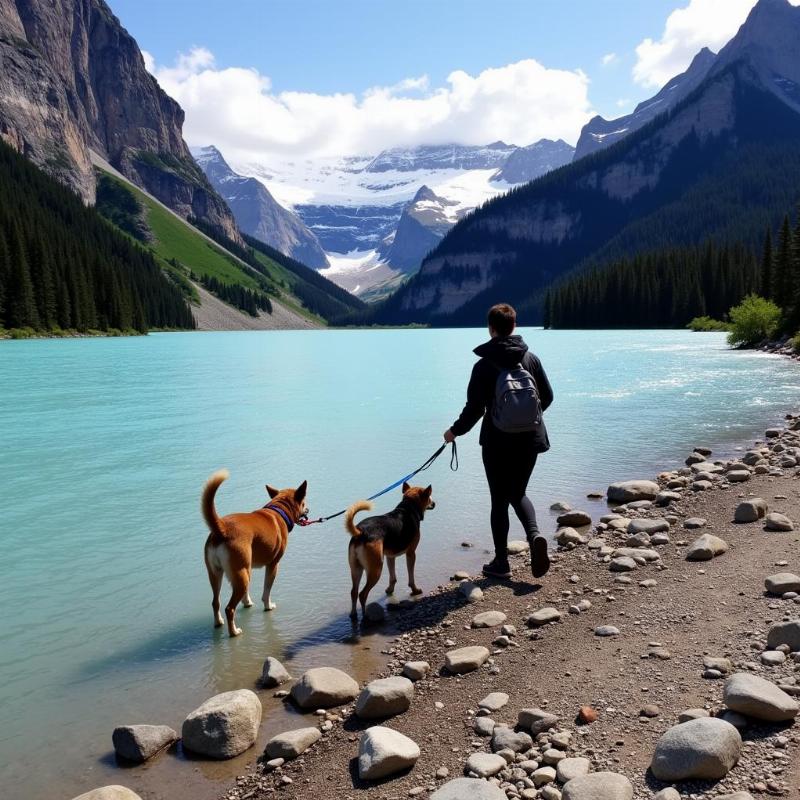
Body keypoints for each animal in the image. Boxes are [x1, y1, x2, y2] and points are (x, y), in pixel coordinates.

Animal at [202, 468, 308, 636]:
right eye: (304, 503)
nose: (308, 509)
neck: (279, 510)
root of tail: (221, 529)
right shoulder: (273, 565)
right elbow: (267, 590)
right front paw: (268, 606)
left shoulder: (249, 567)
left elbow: (247, 593)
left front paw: (247, 603)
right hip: (240, 573)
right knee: (229, 608)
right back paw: (234, 632)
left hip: (219, 573)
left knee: (215, 602)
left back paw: (218, 622)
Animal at [342, 482, 432, 620]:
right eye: (430, 497)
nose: (434, 503)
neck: (408, 508)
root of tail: (361, 532)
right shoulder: (411, 553)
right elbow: (411, 577)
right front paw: (415, 590)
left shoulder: (390, 556)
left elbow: (392, 577)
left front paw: (390, 590)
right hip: (376, 569)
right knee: (362, 594)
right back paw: (366, 616)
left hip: (356, 569)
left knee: (354, 592)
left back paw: (353, 614)